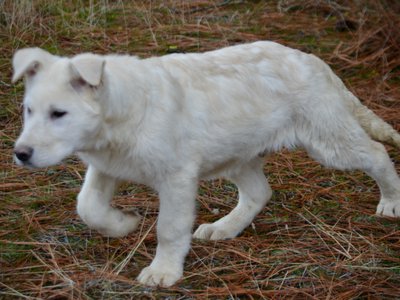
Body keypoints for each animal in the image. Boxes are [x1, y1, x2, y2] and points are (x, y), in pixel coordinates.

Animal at [11, 41, 400, 288]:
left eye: (59, 114)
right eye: (28, 110)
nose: (21, 153)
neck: (121, 115)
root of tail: (314, 61)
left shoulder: (176, 177)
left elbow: (169, 228)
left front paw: (163, 272)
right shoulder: (106, 166)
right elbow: (88, 206)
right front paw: (124, 224)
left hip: (328, 140)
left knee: (376, 152)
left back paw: (391, 202)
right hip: (239, 154)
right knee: (259, 192)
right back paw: (224, 228)